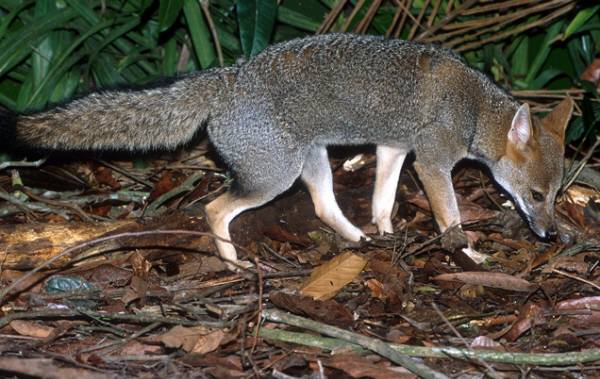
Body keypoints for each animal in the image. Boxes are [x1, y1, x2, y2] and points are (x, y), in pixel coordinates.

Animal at [0, 33, 572, 270]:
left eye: (556, 194)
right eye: (536, 195)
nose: (549, 234)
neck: (473, 107)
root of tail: (227, 75)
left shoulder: (393, 147)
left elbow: (383, 199)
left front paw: (387, 230)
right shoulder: (432, 163)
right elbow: (450, 218)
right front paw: (469, 253)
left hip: (309, 161)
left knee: (321, 206)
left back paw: (357, 240)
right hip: (275, 176)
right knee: (215, 208)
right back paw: (231, 262)